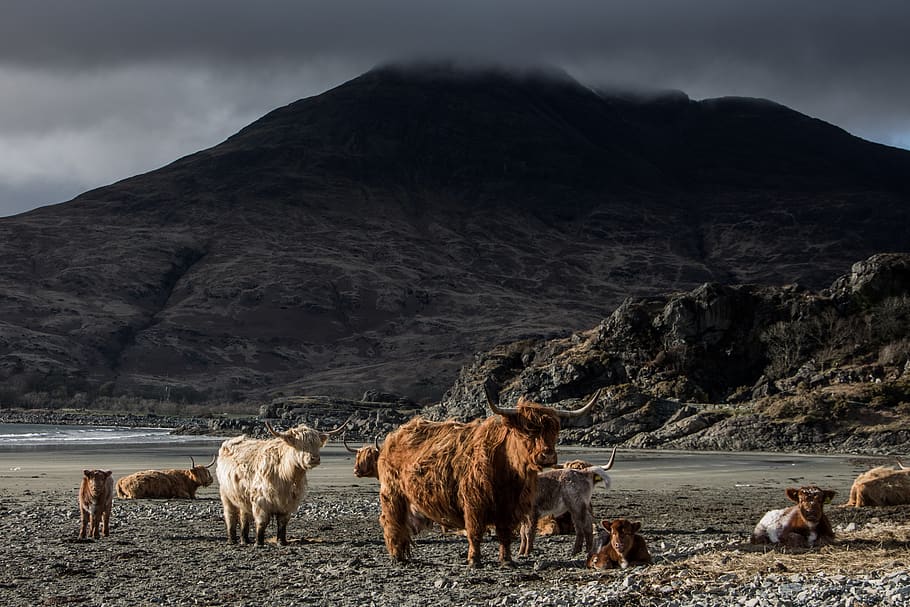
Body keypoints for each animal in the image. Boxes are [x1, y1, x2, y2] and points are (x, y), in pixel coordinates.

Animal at [217, 419, 346, 546]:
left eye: (318, 444)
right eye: (300, 444)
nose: (314, 458)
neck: (287, 475)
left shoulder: (288, 503)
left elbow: (282, 523)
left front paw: (282, 542)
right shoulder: (260, 500)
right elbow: (262, 522)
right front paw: (259, 543)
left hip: (242, 496)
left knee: (244, 516)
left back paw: (245, 540)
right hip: (226, 495)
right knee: (230, 515)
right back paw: (232, 540)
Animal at [377, 384, 601, 567]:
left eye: (555, 430)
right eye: (527, 430)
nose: (547, 456)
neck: (508, 472)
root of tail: (395, 435)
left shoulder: (510, 507)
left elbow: (505, 534)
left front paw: (507, 559)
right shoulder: (474, 502)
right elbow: (475, 532)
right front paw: (474, 560)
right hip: (393, 494)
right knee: (392, 521)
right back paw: (397, 556)